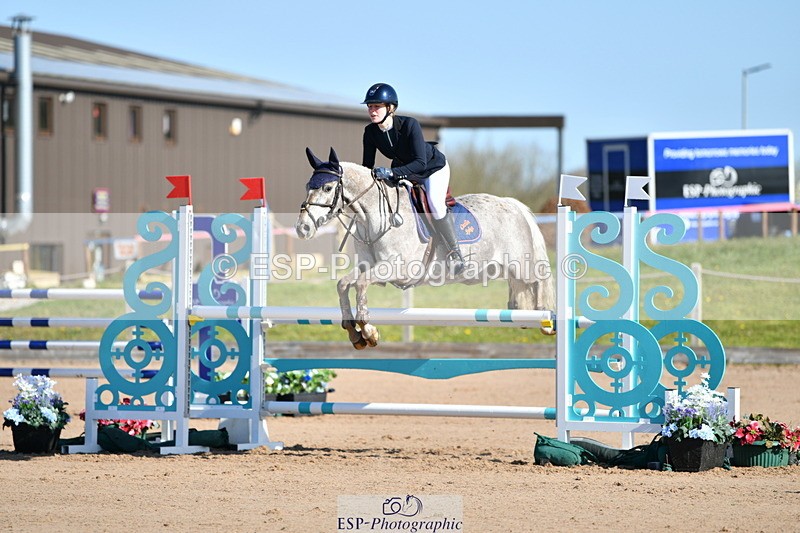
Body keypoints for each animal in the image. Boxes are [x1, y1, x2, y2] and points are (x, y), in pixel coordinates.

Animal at [295, 147, 555, 349]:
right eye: (308, 186)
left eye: (328, 189)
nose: (302, 228)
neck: (373, 218)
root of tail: (513, 204)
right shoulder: (368, 265)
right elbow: (343, 284)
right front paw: (354, 332)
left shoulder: (396, 268)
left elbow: (360, 284)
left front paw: (368, 331)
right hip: (500, 268)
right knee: (519, 286)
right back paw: (518, 312)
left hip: (521, 264)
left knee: (540, 278)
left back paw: (546, 318)